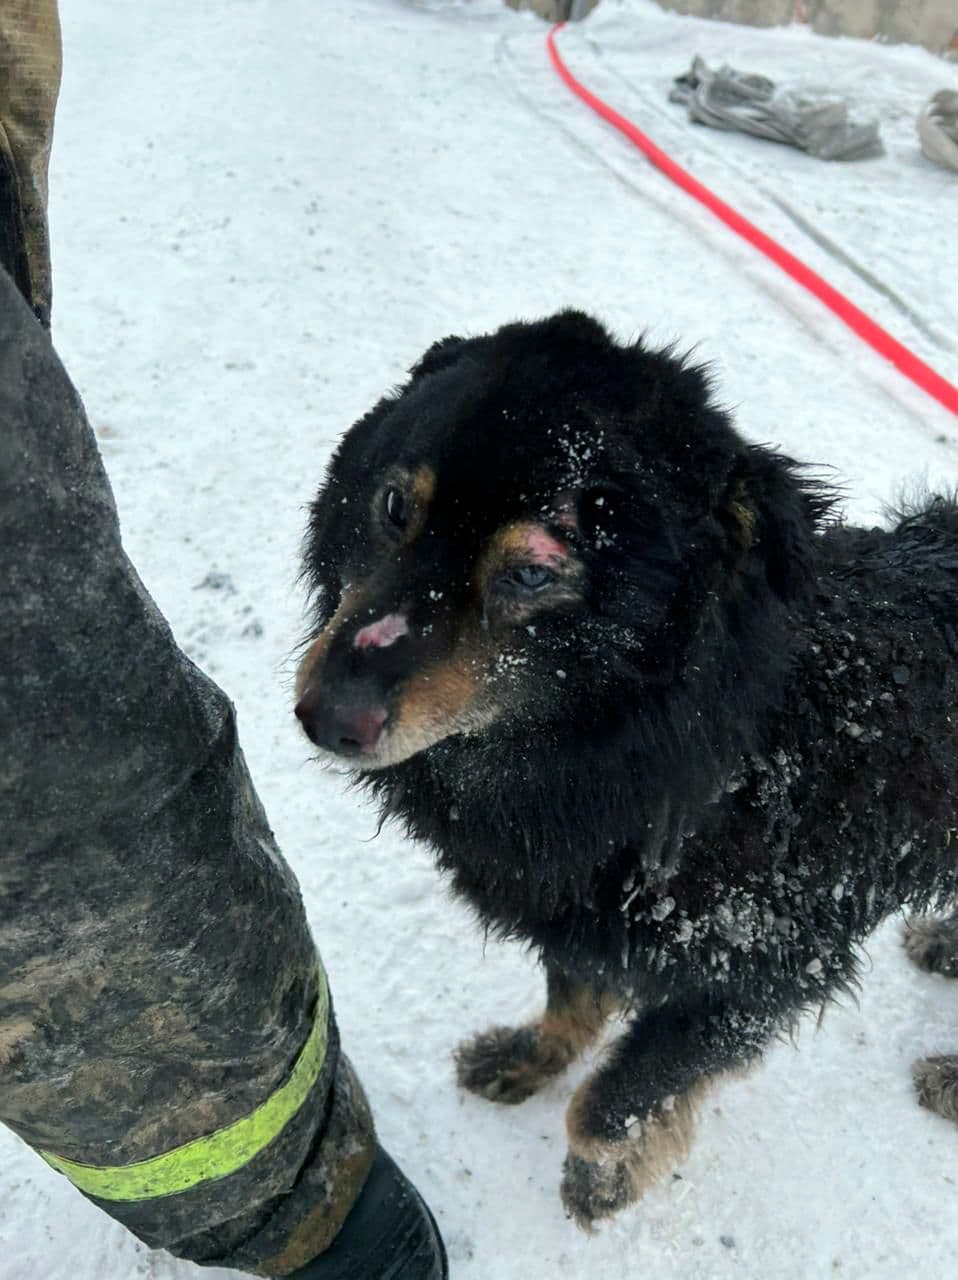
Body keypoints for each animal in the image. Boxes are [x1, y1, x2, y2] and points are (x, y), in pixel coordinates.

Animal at [295, 312, 957, 1228]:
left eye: (532, 571)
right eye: (395, 507)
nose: (328, 716)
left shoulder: (762, 970)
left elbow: (614, 1101)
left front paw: (602, 1179)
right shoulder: (578, 910)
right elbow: (570, 999)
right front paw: (529, 1058)